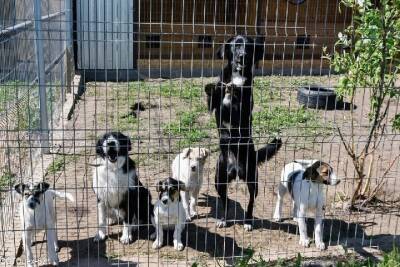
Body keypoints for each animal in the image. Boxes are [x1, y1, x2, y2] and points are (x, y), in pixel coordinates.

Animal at [205, 35, 282, 232]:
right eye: (237, 45)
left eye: (249, 46)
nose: (243, 55)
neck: (237, 75)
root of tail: (236, 170)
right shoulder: (214, 105)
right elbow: (215, 94)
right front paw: (215, 88)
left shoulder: (245, 107)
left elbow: (239, 93)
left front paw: (234, 88)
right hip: (219, 179)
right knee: (224, 202)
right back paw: (223, 219)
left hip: (252, 180)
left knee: (250, 203)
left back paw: (247, 221)